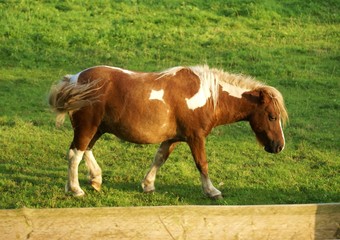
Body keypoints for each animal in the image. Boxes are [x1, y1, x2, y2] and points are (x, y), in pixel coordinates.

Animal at [48, 64, 286, 199]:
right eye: (272, 116)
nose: (279, 146)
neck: (208, 96)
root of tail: (74, 79)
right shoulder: (195, 137)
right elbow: (202, 164)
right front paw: (212, 191)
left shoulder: (173, 138)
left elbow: (160, 158)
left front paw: (148, 185)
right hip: (88, 127)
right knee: (75, 154)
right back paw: (76, 190)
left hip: (96, 129)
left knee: (85, 150)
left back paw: (94, 180)